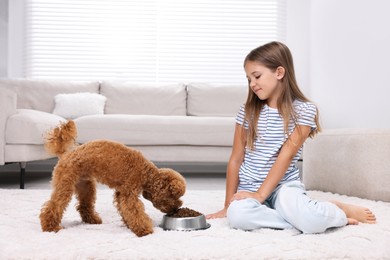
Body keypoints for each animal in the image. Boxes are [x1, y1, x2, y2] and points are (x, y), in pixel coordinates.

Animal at [39, 121, 186, 237]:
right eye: (173, 196)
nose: (176, 208)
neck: (146, 173)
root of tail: (66, 153)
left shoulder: (121, 193)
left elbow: (125, 210)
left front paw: (129, 224)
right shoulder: (129, 193)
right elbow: (135, 211)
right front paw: (145, 230)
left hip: (86, 186)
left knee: (84, 206)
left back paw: (92, 220)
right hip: (65, 184)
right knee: (53, 206)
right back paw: (50, 227)